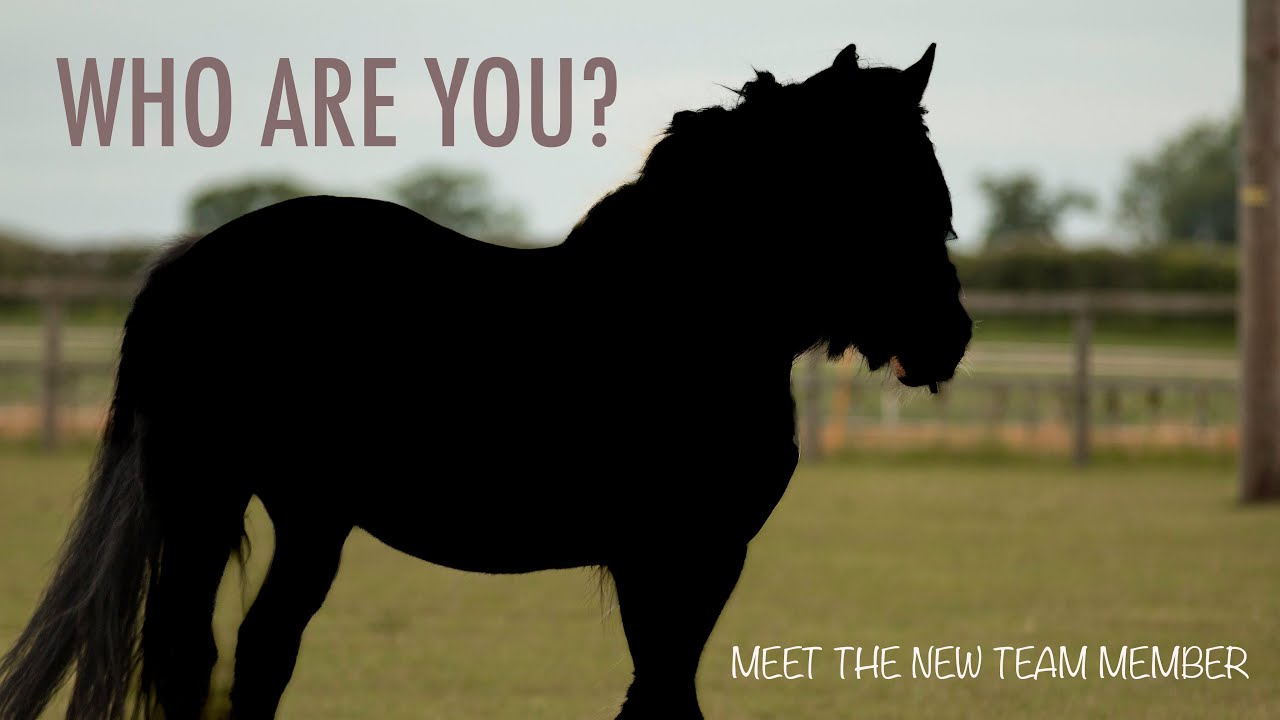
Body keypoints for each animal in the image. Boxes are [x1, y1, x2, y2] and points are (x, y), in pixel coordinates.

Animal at [0, 42, 971, 719]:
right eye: (885, 190)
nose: (950, 337)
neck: (677, 313)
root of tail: (187, 264)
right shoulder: (673, 554)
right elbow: (662, 695)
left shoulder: (690, 558)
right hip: (208, 501)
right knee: (194, 658)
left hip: (311, 516)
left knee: (262, 650)